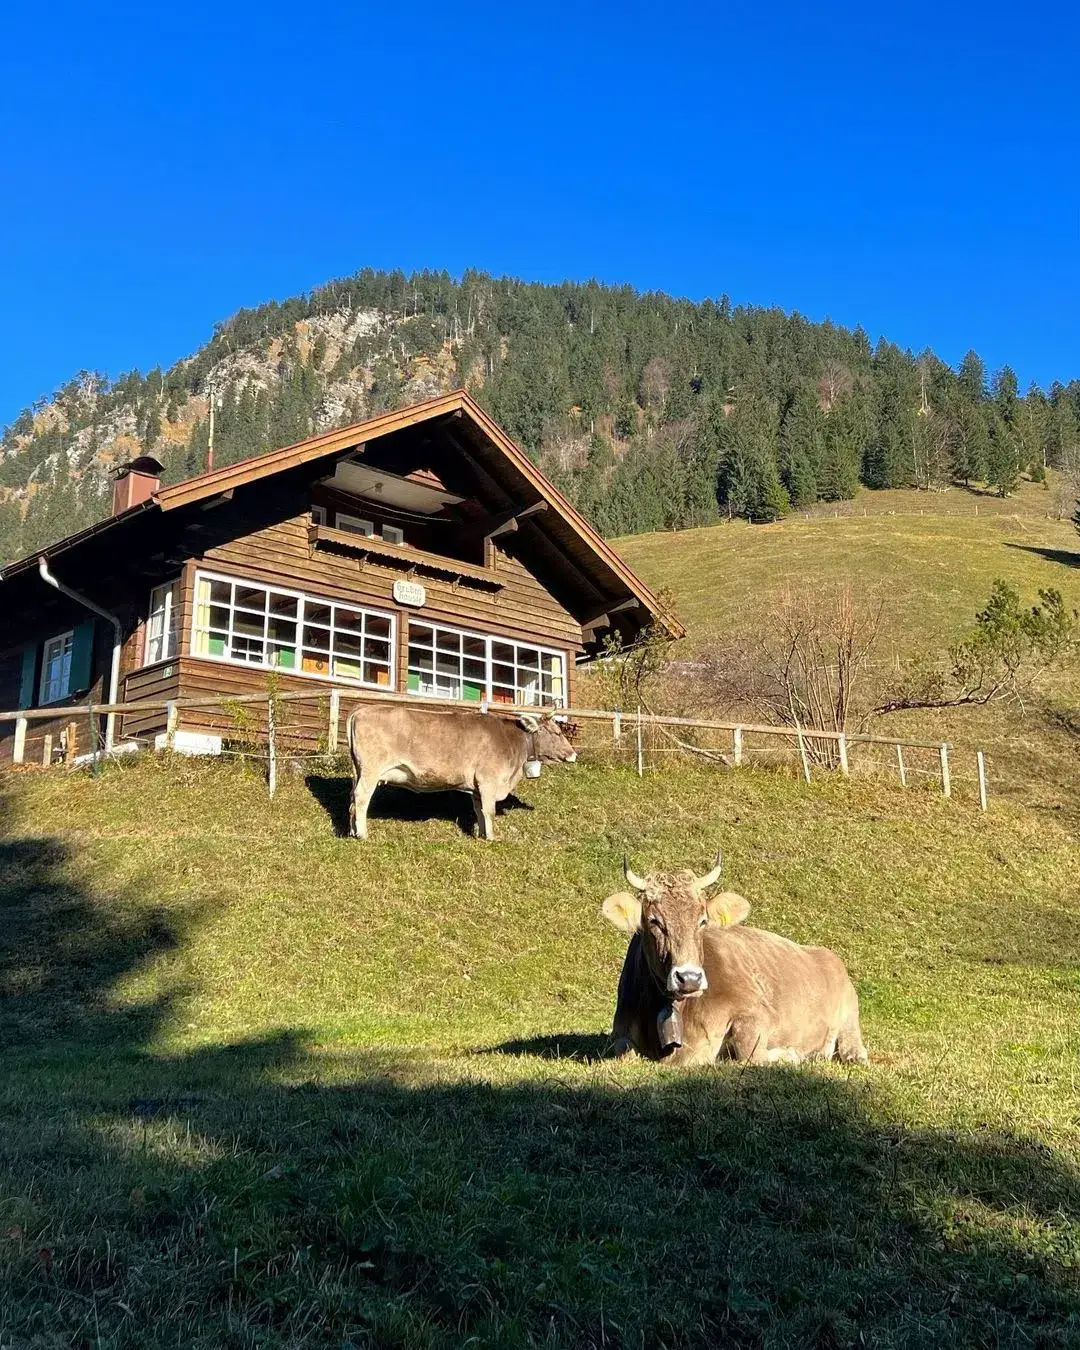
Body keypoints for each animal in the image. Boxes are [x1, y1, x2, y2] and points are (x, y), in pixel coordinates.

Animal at [351, 702, 577, 837]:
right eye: (557, 733)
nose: (573, 754)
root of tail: (361, 710)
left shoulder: (477, 786)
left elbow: (480, 811)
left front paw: (481, 835)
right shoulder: (488, 780)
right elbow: (489, 811)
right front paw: (492, 838)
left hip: (358, 770)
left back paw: (353, 831)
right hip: (371, 770)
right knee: (361, 796)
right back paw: (363, 834)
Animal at [599, 853, 869, 1063]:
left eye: (703, 920)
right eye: (654, 921)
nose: (689, 978)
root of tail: (823, 952)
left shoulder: (757, 1011)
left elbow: (749, 1053)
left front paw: (788, 1055)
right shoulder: (620, 1029)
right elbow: (623, 1051)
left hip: (849, 1011)